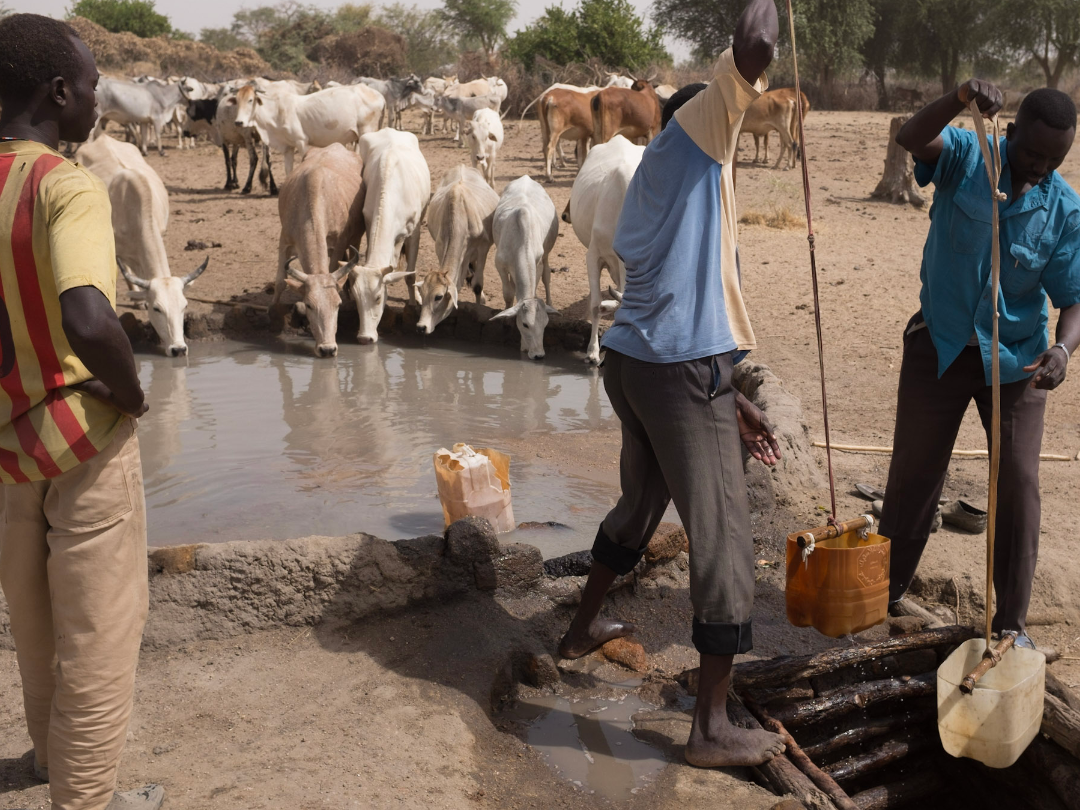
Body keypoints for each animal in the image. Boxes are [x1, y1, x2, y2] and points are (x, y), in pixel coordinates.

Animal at [234, 83, 386, 174]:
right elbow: (288, 171)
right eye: (236, 100)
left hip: (366, 131)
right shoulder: (288, 147)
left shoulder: (302, 142)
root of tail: (380, 96)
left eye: (250, 100)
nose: (238, 122)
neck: (276, 111)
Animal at [274, 143, 367, 358]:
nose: (327, 349)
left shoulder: (340, 241)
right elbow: (280, 281)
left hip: (355, 238)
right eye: (309, 305)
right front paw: (271, 314)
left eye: (337, 305)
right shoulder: (285, 240)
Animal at [416, 168, 501, 336]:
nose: (421, 327)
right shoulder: (440, 246)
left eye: (438, 297)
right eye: (421, 293)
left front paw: (479, 306)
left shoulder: (482, 248)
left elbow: (477, 284)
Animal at [490, 177, 557, 360]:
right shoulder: (499, 264)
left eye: (546, 324)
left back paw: (550, 302)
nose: (539, 355)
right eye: (525, 325)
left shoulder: (538, 262)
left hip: (547, 253)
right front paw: (506, 316)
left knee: (547, 276)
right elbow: (508, 292)